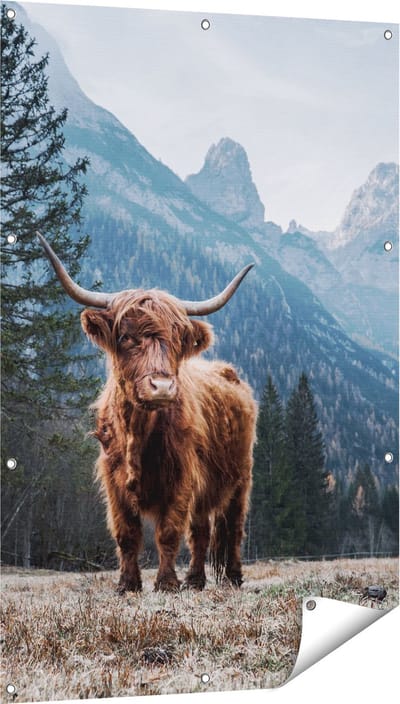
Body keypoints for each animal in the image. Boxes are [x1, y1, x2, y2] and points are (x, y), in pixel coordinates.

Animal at [37, 232, 257, 593]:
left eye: (178, 340)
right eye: (127, 337)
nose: (162, 387)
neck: (137, 432)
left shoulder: (181, 477)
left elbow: (168, 533)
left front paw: (166, 583)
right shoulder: (113, 481)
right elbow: (127, 534)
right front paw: (128, 584)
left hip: (241, 478)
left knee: (233, 528)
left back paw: (233, 577)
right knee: (201, 531)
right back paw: (195, 580)